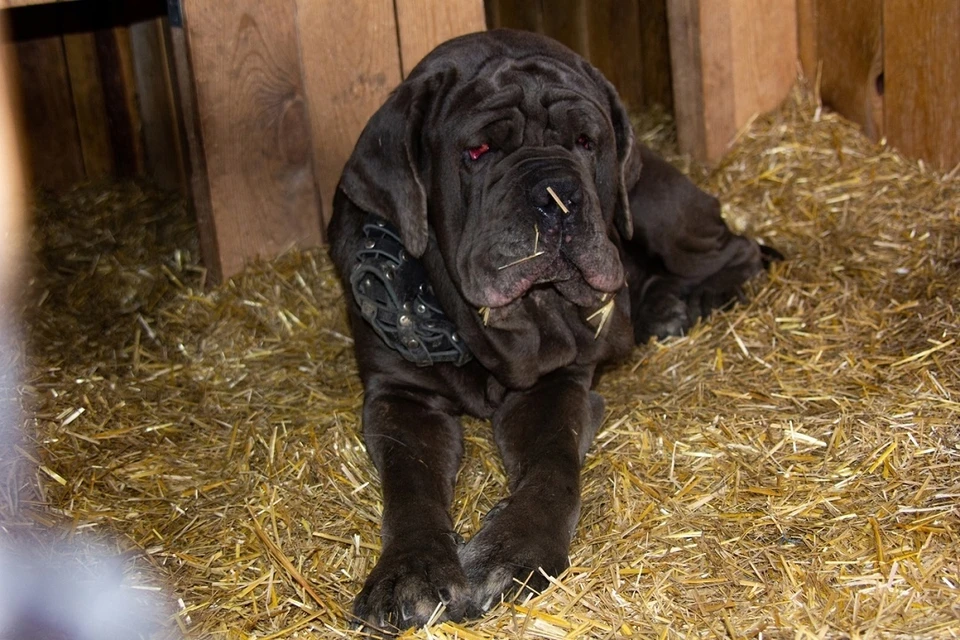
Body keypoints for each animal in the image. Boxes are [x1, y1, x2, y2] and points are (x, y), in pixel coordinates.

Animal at [326, 28, 776, 632]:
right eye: (478, 152)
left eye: (586, 142)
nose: (556, 195)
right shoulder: (400, 396)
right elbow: (410, 484)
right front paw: (410, 572)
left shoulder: (556, 387)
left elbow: (552, 466)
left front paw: (512, 553)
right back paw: (661, 305)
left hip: (659, 210)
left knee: (739, 250)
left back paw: (692, 300)